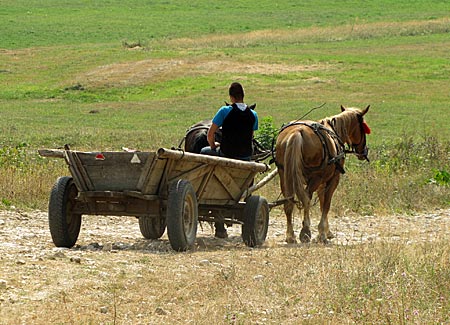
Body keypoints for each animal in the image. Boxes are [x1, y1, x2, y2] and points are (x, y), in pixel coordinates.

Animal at [276, 105, 370, 242]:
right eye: (363, 128)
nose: (364, 151)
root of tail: (297, 132)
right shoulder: (333, 180)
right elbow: (326, 205)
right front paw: (322, 233)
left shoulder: (321, 183)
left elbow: (321, 203)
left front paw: (327, 231)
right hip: (315, 177)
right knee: (306, 198)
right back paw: (305, 231)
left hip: (284, 174)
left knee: (288, 201)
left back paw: (290, 235)